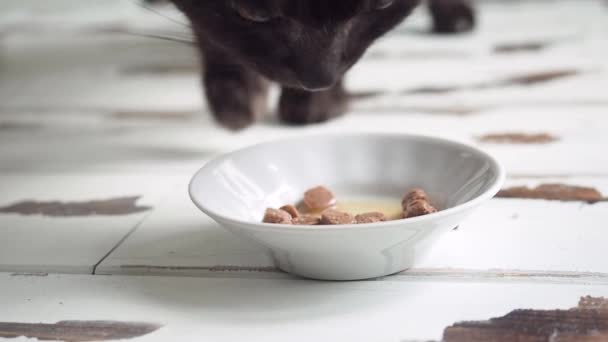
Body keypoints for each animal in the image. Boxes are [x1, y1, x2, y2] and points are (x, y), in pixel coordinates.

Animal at [170, 0, 476, 130]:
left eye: (384, 3)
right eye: (253, 14)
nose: (320, 78)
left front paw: (319, 102)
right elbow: (211, 31)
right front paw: (236, 95)